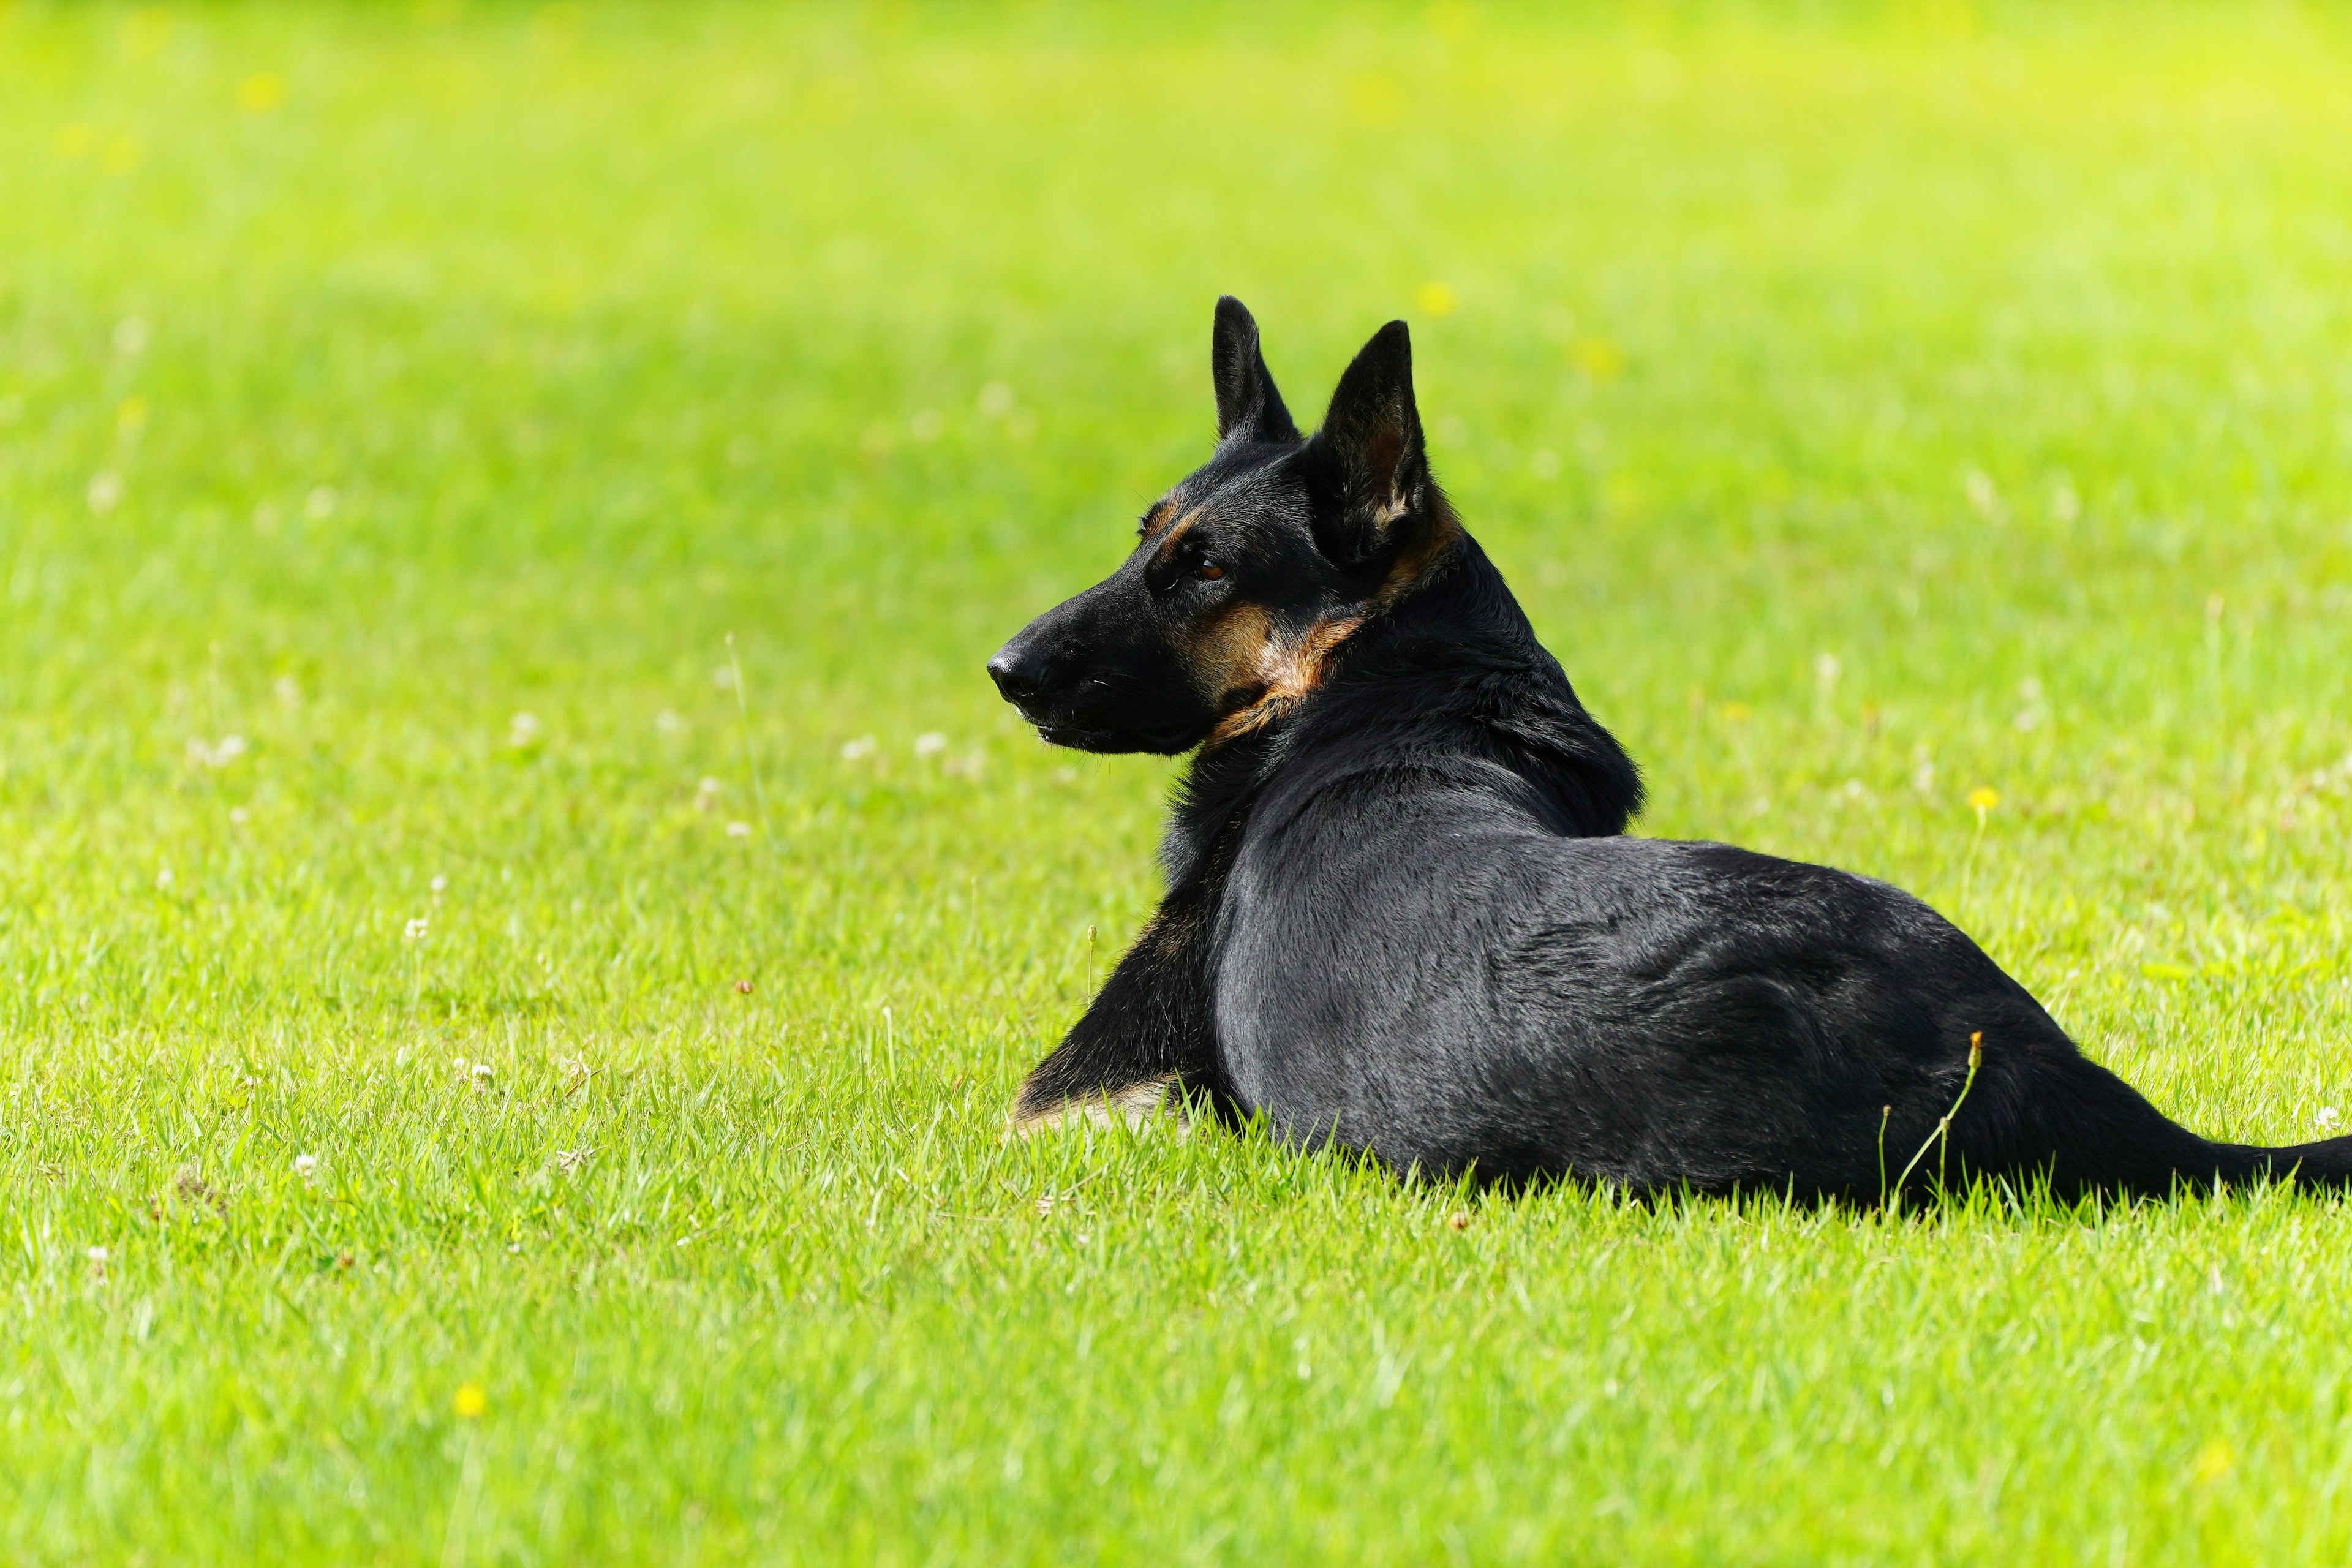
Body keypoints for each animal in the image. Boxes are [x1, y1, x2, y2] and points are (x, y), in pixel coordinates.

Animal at [987, 297, 2352, 1204]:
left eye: (1204, 568)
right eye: (1146, 537)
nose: (1003, 668)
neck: (1396, 679)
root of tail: (2007, 1049)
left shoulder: (1077, 1100)